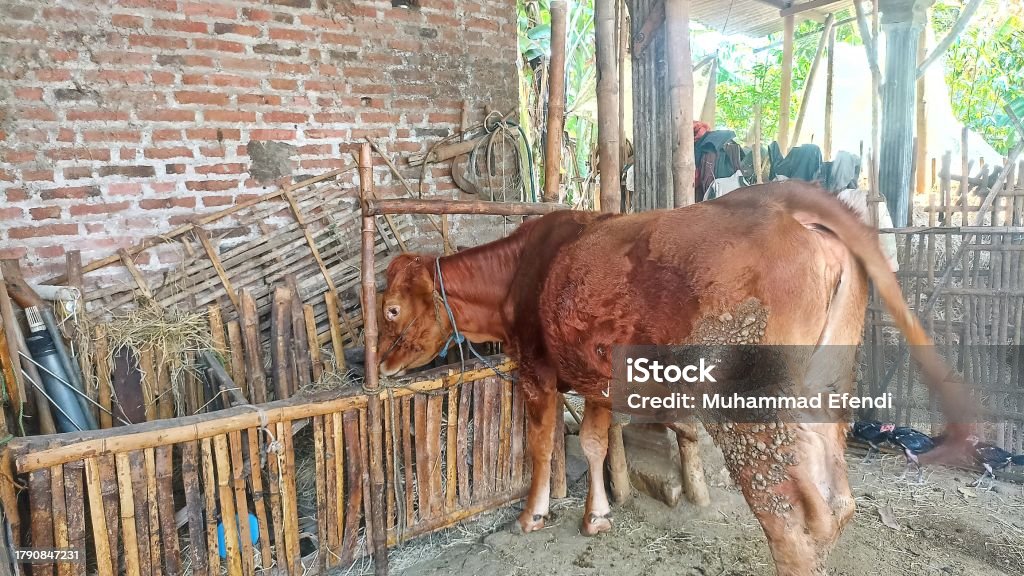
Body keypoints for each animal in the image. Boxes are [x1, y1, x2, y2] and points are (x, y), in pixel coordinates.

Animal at [375, 182, 973, 576]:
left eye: (390, 310)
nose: (378, 366)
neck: (518, 276)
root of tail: (774, 201)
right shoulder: (595, 376)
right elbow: (594, 444)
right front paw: (597, 517)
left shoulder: (537, 373)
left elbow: (542, 447)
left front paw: (532, 516)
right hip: (825, 379)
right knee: (833, 502)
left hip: (747, 404)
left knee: (790, 526)